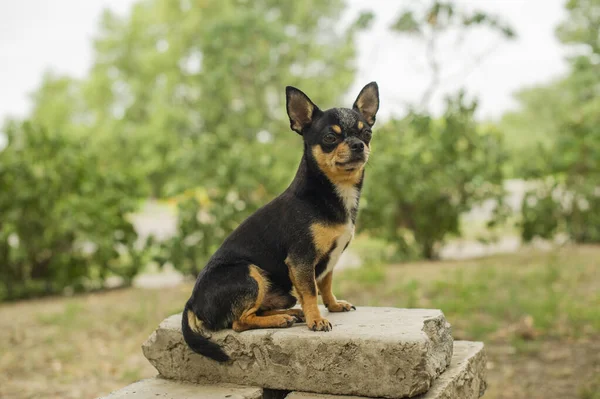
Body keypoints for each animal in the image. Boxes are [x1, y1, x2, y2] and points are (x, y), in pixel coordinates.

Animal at [182, 81, 380, 362]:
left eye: (367, 134)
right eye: (330, 138)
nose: (358, 145)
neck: (333, 192)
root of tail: (192, 301)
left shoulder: (329, 260)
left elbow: (325, 284)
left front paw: (332, 305)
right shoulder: (301, 260)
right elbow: (311, 291)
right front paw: (316, 320)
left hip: (280, 294)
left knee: (257, 312)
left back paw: (291, 315)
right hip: (249, 274)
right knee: (239, 322)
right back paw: (282, 320)